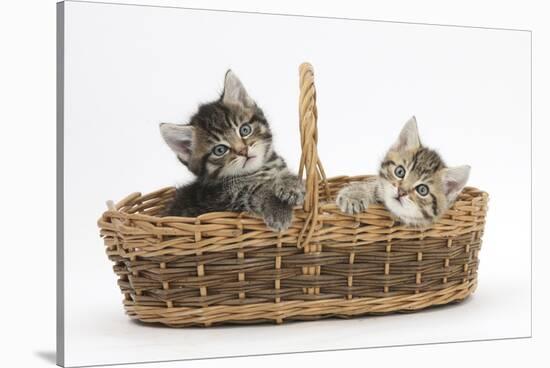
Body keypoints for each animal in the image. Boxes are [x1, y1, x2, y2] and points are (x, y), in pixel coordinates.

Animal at [161, 69, 306, 230]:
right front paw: (278, 209)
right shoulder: (223, 199)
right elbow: (256, 190)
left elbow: (282, 174)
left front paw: (291, 184)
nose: (243, 151)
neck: (260, 170)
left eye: (245, 130)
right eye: (219, 150)